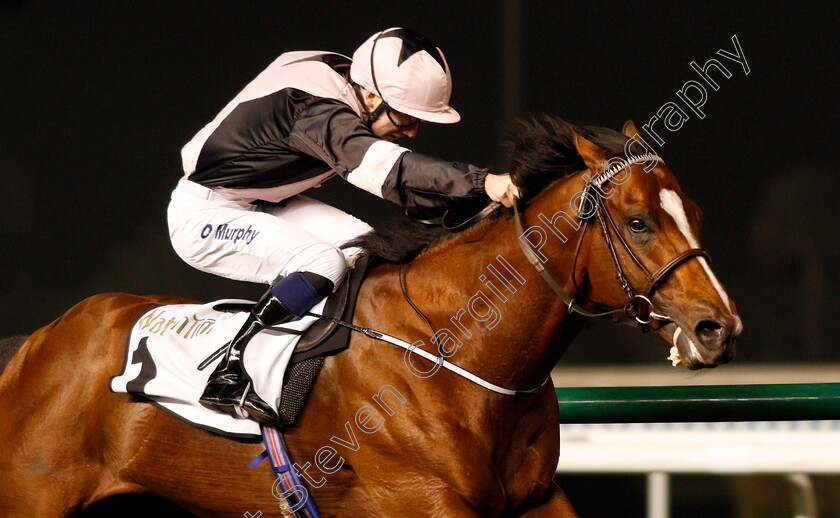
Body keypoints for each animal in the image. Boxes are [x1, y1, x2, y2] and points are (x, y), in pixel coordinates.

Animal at [0, 120, 740, 516]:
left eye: (697, 213)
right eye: (639, 222)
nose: (719, 327)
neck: (453, 354)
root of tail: (34, 344)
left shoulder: (534, 498)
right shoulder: (426, 501)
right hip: (33, 495)